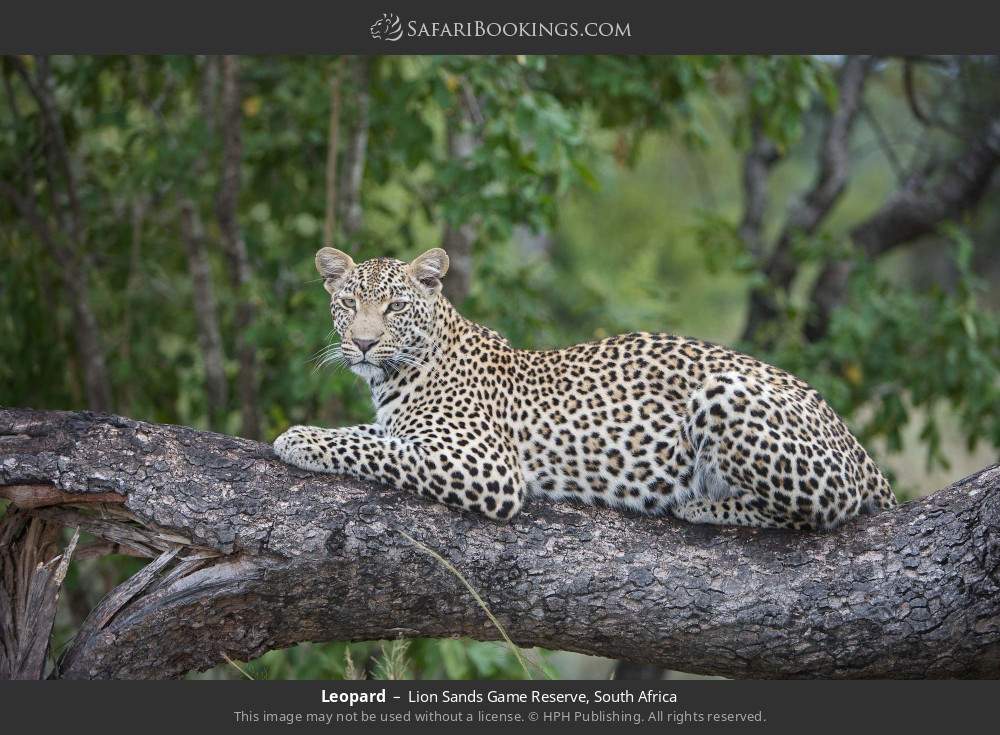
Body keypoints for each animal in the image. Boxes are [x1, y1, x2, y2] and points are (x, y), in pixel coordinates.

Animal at [274, 246, 897, 530]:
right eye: (348, 301)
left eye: (395, 307)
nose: (362, 344)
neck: (400, 372)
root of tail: (853, 441)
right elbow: (372, 436)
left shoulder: (487, 467)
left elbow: (374, 449)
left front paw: (297, 439)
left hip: (725, 391)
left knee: (823, 508)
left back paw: (700, 504)